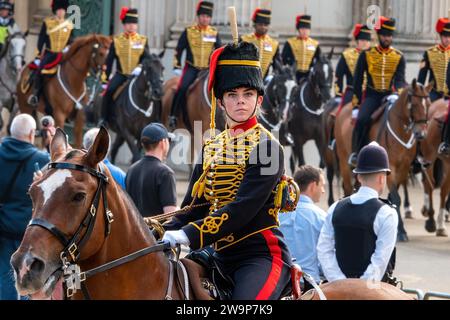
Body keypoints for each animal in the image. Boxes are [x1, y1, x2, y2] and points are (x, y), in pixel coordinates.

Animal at [336, 79, 430, 240]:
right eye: (414, 104)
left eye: (428, 104)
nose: (421, 134)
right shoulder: (390, 166)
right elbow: (396, 197)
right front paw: (401, 232)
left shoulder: (404, 168)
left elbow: (394, 196)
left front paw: (397, 228)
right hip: (343, 160)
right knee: (347, 188)